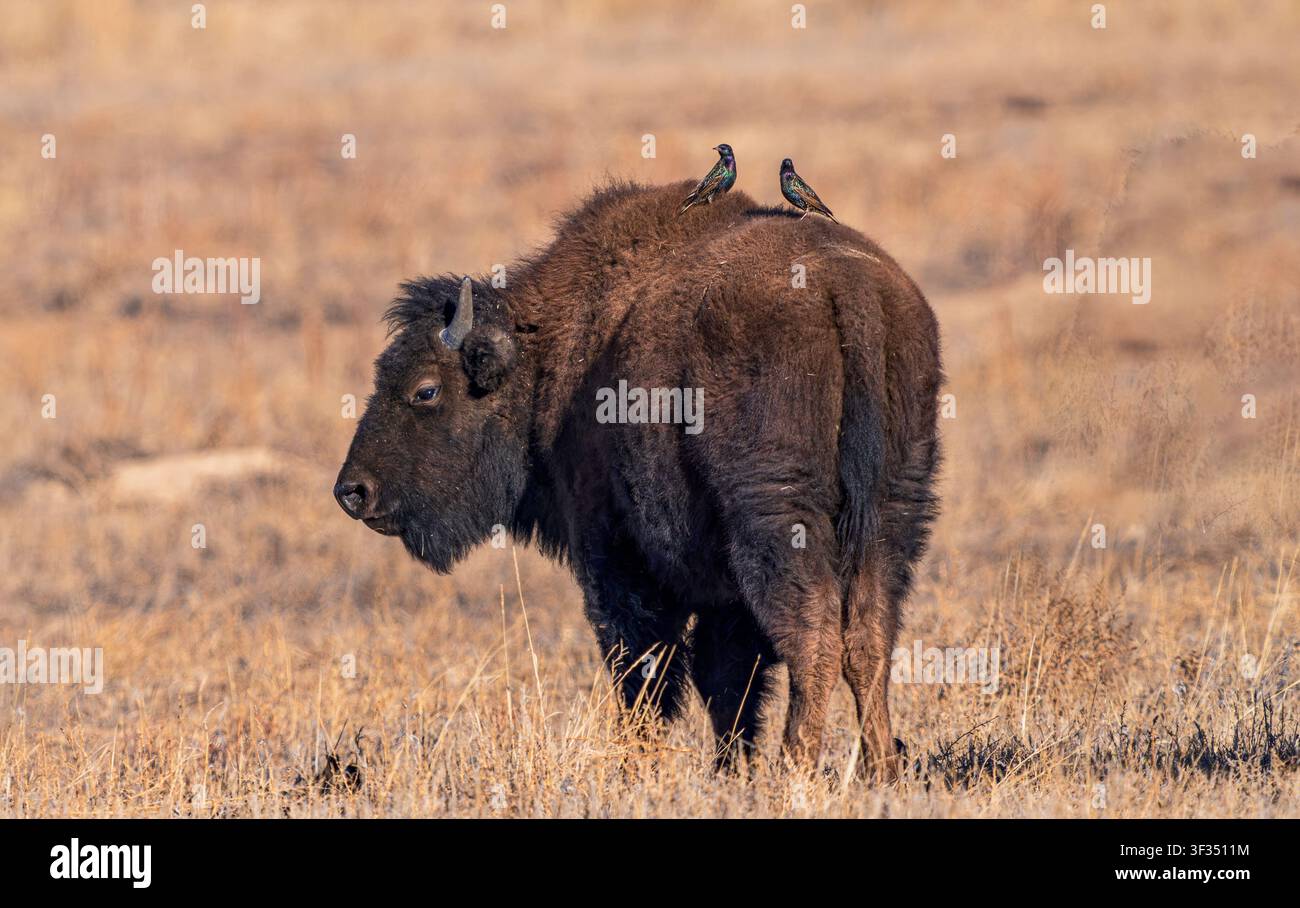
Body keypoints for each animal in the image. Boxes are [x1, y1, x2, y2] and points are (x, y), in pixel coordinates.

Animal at [335, 181, 942, 777]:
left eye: (426, 390)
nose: (352, 491)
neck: (548, 350)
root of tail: (849, 291)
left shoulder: (616, 556)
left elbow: (647, 668)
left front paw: (640, 768)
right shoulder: (722, 592)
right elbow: (726, 681)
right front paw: (729, 771)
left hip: (779, 519)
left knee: (813, 636)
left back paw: (795, 769)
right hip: (892, 510)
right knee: (868, 637)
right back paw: (879, 769)